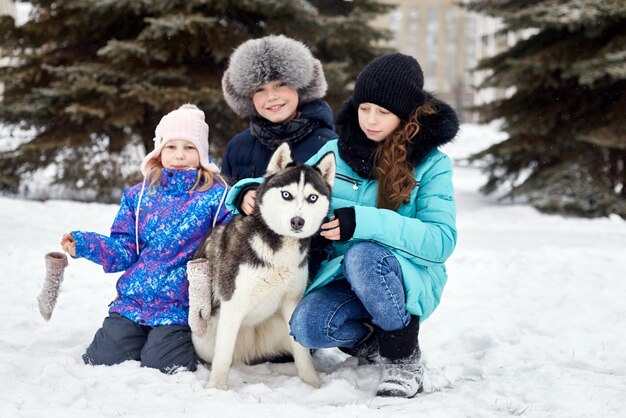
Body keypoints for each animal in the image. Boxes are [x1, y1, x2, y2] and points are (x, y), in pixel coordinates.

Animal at [186, 143, 334, 388]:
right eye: (286, 195)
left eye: (312, 197)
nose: (298, 221)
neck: (280, 248)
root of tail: (251, 352)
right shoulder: (232, 305)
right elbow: (223, 356)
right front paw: (216, 388)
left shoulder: (292, 303)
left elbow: (301, 352)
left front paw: (313, 384)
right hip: (205, 338)